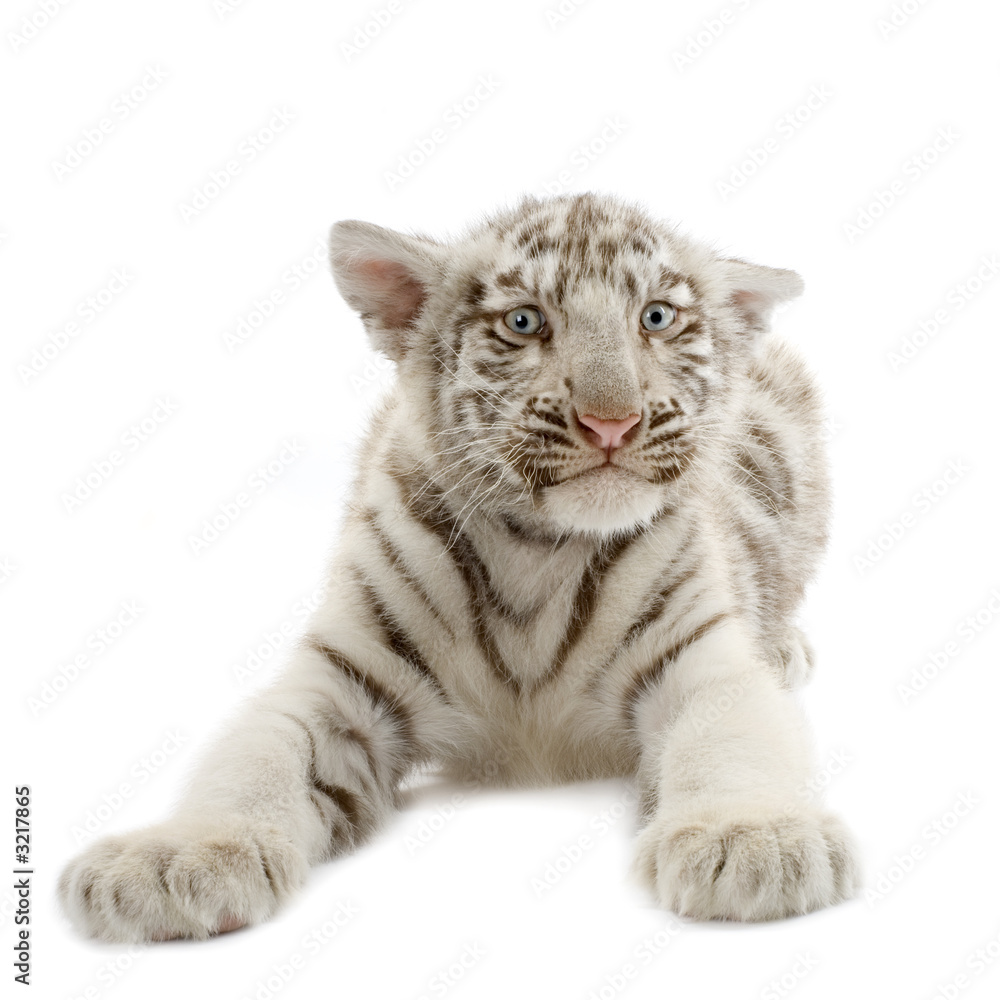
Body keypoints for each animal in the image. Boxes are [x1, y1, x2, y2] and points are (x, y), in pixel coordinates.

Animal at [58, 191, 859, 942]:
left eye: (656, 318)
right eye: (525, 323)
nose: (612, 422)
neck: (539, 548)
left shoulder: (701, 664)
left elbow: (735, 746)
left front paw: (752, 839)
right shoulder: (343, 678)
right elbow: (253, 760)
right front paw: (177, 857)